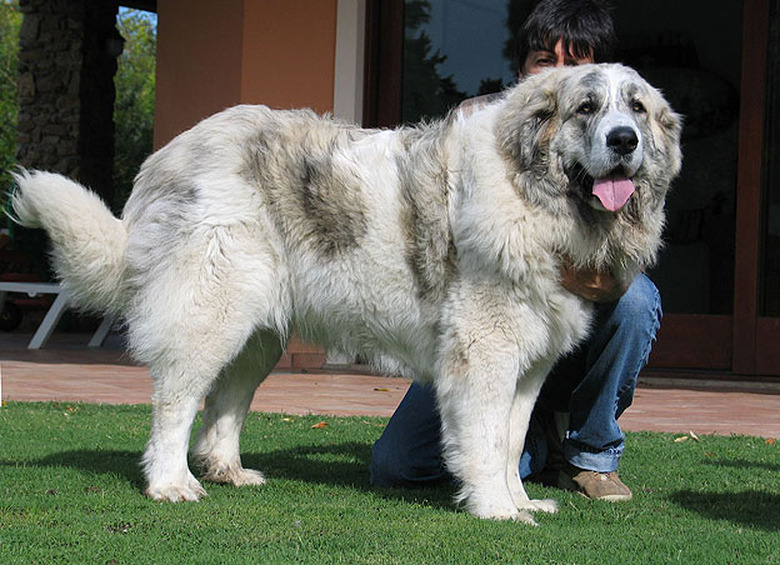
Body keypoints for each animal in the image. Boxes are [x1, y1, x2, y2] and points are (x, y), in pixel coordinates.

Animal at [13, 64, 684, 524]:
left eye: (637, 109)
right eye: (586, 108)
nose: (624, 140)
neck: (534, 194)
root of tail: (171, 153)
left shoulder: (527, 365)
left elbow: (511, 439)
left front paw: (521, 503)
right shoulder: (486, 357)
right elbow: (487, 439)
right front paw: (495, 509)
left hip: (260, 333)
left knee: (226, 401)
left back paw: (229, 471)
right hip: (212, 311)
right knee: (176, 402)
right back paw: (171, 483)